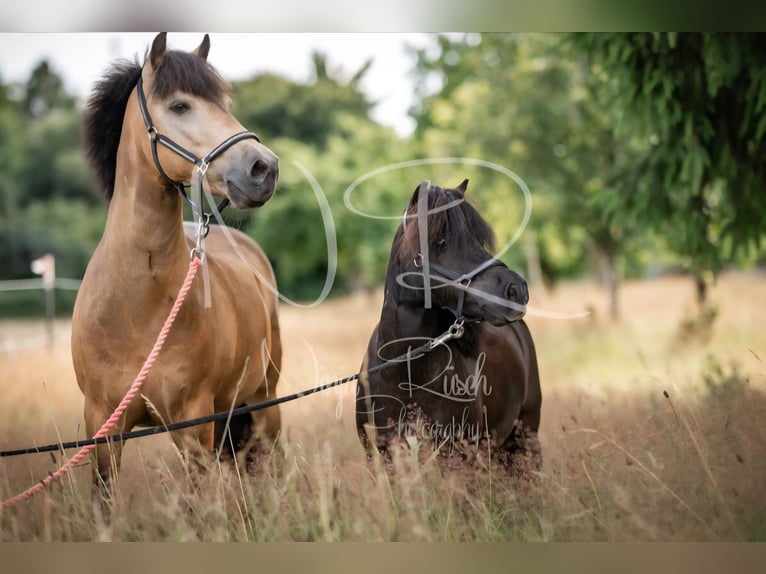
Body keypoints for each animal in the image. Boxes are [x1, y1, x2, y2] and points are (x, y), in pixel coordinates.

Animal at [71, 33, 282, 505]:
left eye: (224, 101)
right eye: (180, 105)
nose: (264, 168)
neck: (135, 308)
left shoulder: (193, 423)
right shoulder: (103, 428)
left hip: (264, 401)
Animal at [355, 179, 542, 468]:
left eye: (479, 240)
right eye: (441, 241)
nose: (516, 290)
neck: (406, 372)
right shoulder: (381, 456)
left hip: (525, 437)